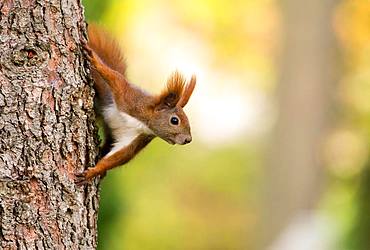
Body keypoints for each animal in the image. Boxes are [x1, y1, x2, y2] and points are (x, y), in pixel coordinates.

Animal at [75, 23, 197, 184]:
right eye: (174, 120)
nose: (188, 139)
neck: (143, 123)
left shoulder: (136, 138)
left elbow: (120, 156)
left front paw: (93, 172)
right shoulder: (128, 98)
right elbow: (115, 77)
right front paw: (94, 59)